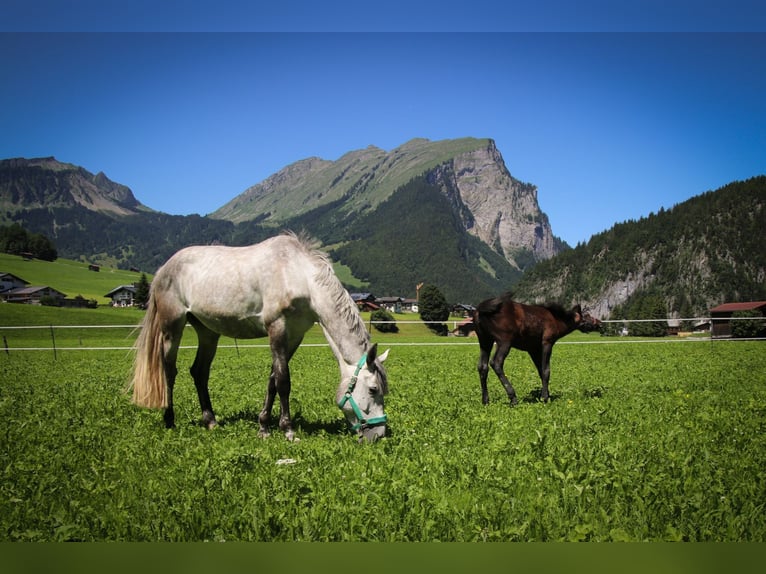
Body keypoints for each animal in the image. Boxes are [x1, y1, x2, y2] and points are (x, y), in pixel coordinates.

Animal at [129, 232, 390, 442]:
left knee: (199, 372)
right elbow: (283, 381)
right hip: (172, 328)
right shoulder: (277, 328)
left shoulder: (294, 335)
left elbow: (272, 380)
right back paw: (169, 420)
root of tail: (164, 268)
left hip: (207, 332)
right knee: (169, 371)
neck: (299, 275)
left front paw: (263, 426)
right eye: (373, 389)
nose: (379, 434)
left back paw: (211, 421)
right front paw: (287, 430)